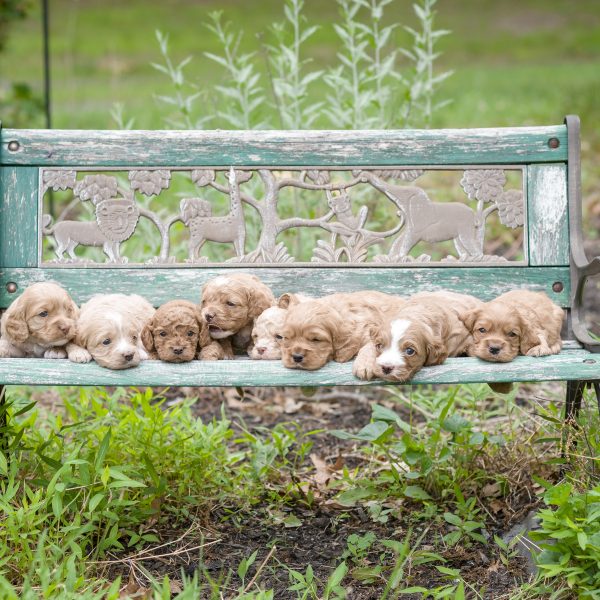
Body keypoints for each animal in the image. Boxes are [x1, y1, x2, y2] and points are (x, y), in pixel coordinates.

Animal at [354, 292, 486, 384]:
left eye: (409, 351)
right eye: (379, 346)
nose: (386, 367)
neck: (417, 313)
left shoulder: (464, 337)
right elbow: (368, 345)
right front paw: (364, 363)